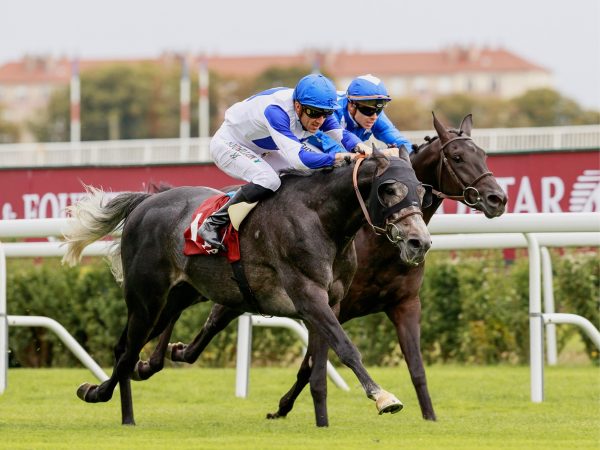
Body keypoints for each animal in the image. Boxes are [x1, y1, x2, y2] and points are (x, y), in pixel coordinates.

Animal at [63, 149, 434, 426]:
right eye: (389, 189)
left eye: (421, 190)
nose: (420, 243)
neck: (322, 219)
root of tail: (143, 203)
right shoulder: (308, 294)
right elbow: (345, 348)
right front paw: (382, 397)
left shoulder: (332, 301)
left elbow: (317, 367)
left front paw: (321, 421)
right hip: (146, 299)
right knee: (126, 351)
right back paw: (102, 396)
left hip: (178, 296)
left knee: (127, 348)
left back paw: (122, 402)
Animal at [146, 112, 506, 426]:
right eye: (457, 157)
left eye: (483, 154)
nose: (497, 198)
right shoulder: (323, 303)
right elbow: (316, 363)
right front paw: (286, 407)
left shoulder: (403, 303)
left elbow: (415, 366)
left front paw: (430, 417)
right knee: (184, 316)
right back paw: (154, 359)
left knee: (200, 320)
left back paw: (165, 356)